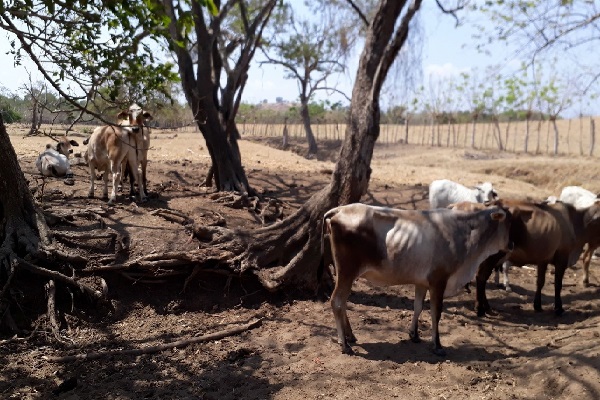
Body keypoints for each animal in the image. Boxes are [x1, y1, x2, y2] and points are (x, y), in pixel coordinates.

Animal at [322, 203, 512, 356]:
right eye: (510, 223)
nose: (512, 245)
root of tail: (339, 210)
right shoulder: (439, 281)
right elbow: (436, 312)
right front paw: (437, 345)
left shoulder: (421, 283)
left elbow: (418, 307)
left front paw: (414, 335)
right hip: (347, 272)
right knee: (337, 301)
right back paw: (345, 344)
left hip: (345, 274)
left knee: (343, 302)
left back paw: (350, 336)